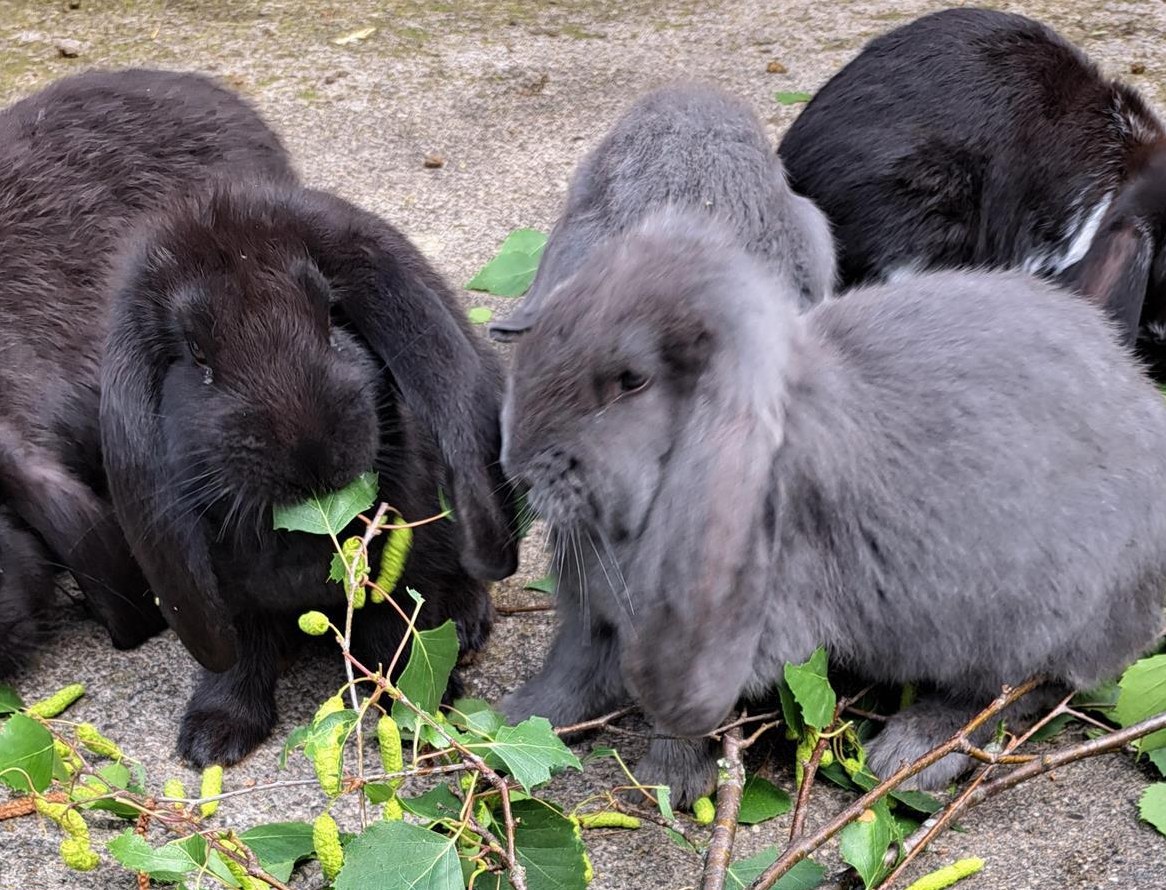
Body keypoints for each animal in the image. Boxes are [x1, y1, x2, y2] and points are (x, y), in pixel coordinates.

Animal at [100, 178, 518, 766]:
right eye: (197, 353)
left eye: (331, 318)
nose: (311, 453)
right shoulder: (226, 596)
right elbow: (238, 655)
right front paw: (212, 738)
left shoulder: (394, 568)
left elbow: (391, 631)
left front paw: (421, 707)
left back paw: (467, 622)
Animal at [499, 208, 1166, 805]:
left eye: (632, 379)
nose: (515, 463)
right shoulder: (597, 617)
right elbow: (572, 674)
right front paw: (513, 722)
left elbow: (686, 715)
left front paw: (668, 781)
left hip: (1021, 623)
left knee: (1019, 691)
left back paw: (909, 753)